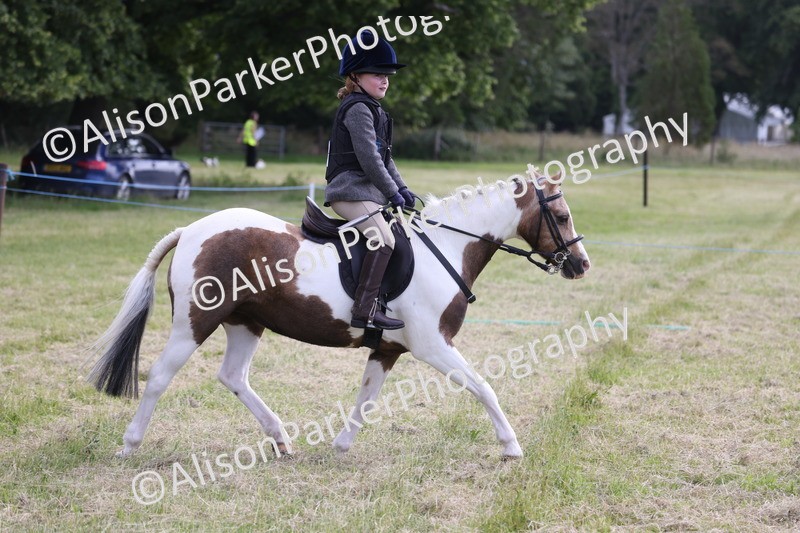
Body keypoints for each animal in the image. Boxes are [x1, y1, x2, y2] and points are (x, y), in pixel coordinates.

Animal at [89, 170, 590, 459]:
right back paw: (130, 445)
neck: (446, 247)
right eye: (563, 216)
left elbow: (366, 397)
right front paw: (511, 446)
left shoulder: (388, 349)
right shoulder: (433, 346)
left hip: (247, 323)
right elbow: (484, 387)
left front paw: (341, 445)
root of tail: (191, 229)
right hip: (194, 322)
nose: (582, 265)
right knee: (159, 376)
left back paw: (281, 438)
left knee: (233, 377)